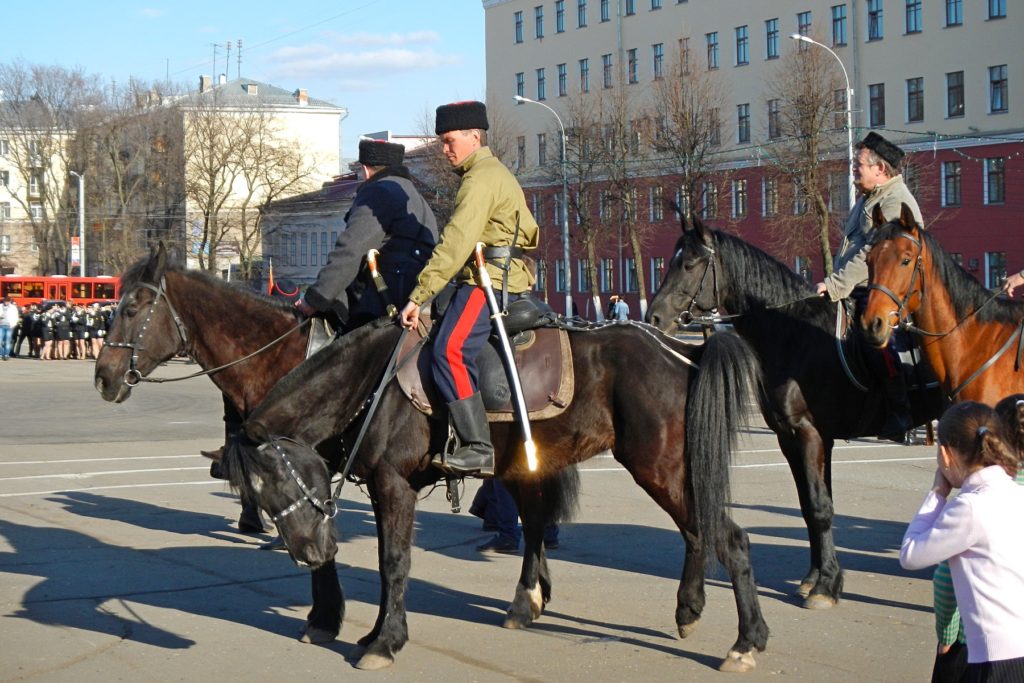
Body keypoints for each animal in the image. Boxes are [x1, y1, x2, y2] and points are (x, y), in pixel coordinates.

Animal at [222, 315, 770, 671]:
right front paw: (363, 628)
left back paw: (747, 641)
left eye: (278, 481)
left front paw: (384, 641)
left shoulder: (393, 484)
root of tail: (681, 349)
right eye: (261, 499)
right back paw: (686, 609)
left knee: (729, 538)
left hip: (659, 466)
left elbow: (393, 561)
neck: (373, 381)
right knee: (697, 531)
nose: (309, 553)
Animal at [647, 215, 942, 610]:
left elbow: (819, 508)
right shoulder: (792, 437)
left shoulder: (809, 434)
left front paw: (825, 586)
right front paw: (815, 578)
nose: (653, 316)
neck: (794, 334)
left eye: (690, 264)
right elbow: (809, 506)